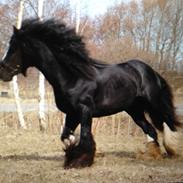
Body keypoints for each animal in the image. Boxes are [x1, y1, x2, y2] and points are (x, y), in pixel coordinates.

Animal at [0, 19, 181, 169]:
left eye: (14, 47)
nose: (3, 72)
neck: (73, 76)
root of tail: (150, 71)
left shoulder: (85, 110)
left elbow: (85, 136)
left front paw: (80, 161)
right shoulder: (72, 113)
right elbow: (66, 137)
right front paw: (71, 156)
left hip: (154, 103)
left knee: (168, 123)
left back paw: (173, 151)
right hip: (134, 110)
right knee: (151, 130)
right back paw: (152, 155)